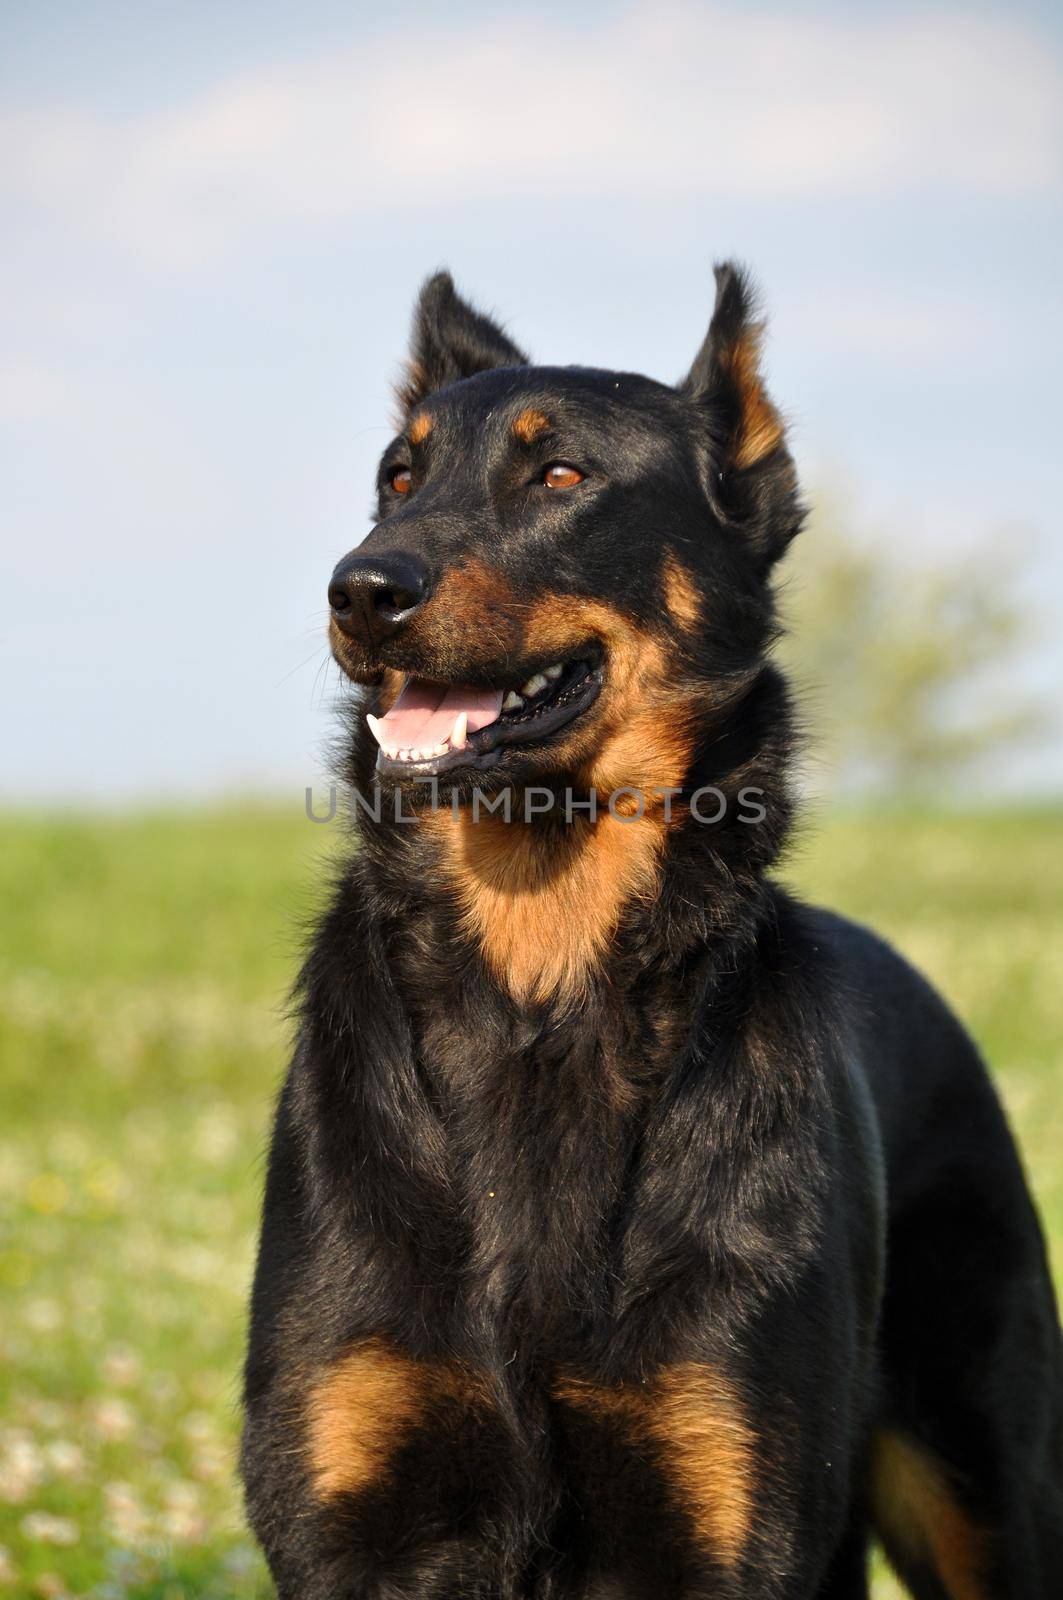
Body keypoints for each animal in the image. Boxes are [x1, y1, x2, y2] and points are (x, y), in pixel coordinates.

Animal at [243, 268, 1063, 1593]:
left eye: (560, 476)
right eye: (397, 479)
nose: (360, 588)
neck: (538, 983)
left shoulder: (720, 1508)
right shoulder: (354, 1519)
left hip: (981, 1487)